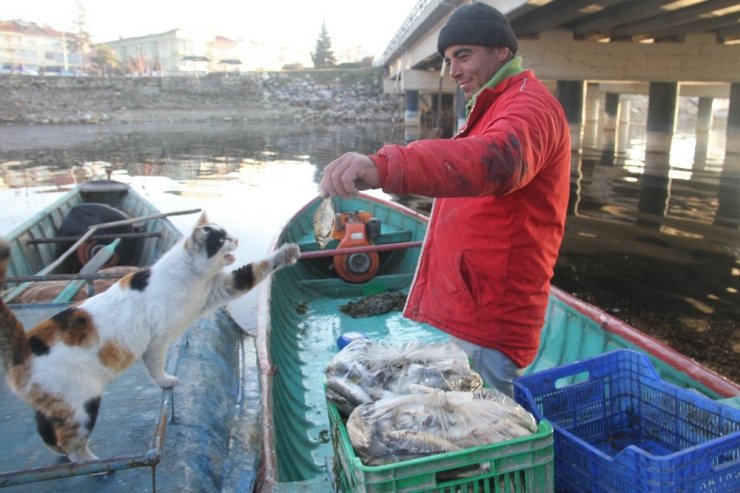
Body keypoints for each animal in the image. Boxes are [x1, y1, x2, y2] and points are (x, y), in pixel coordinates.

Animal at [0, 211, 300, 462]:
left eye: (227, 233)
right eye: (221, 239)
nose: (236, 239)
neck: (192, 277)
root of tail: (22, 347)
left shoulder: (219, 289)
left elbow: (252, 272)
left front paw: (288, 253)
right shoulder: (157, 342)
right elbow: (156, 368)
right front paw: (167, 381)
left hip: (53, 406)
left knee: (47, 434)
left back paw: (63, 453)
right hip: (81, 405)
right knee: (72, 442)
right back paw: (94, 463)